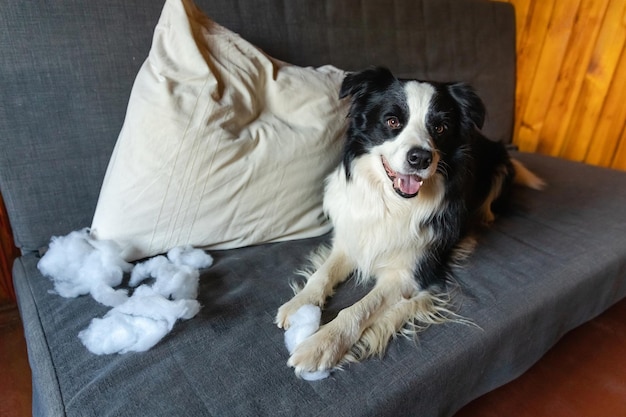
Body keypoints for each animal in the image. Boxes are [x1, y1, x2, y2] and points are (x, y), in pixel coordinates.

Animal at [272, 67, 540, 374]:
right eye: (392, 121)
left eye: (440, 128)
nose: (420, 158)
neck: (392, 202)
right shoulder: (354, 238)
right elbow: (322, 273)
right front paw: (299, 304)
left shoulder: (411, 272)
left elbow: (361, 307)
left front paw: (322, 344)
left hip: (501, 168)